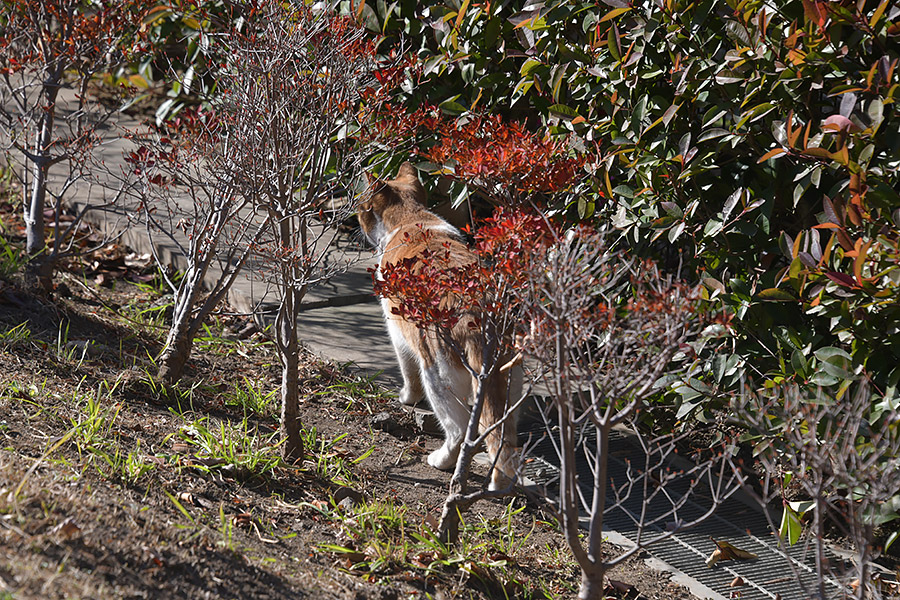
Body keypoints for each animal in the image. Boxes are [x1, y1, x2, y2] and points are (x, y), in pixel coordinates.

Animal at [360, 162, 520, 490]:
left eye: (361, 211)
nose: (356, 223)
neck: (412, 219)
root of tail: (479, 321)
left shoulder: (397, 333)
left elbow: (407, 372)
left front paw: (406, 398)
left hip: (436, 375)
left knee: (458, 432)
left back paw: (441, 461)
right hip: (510, 385)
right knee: (503, 439)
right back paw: (500, 486)